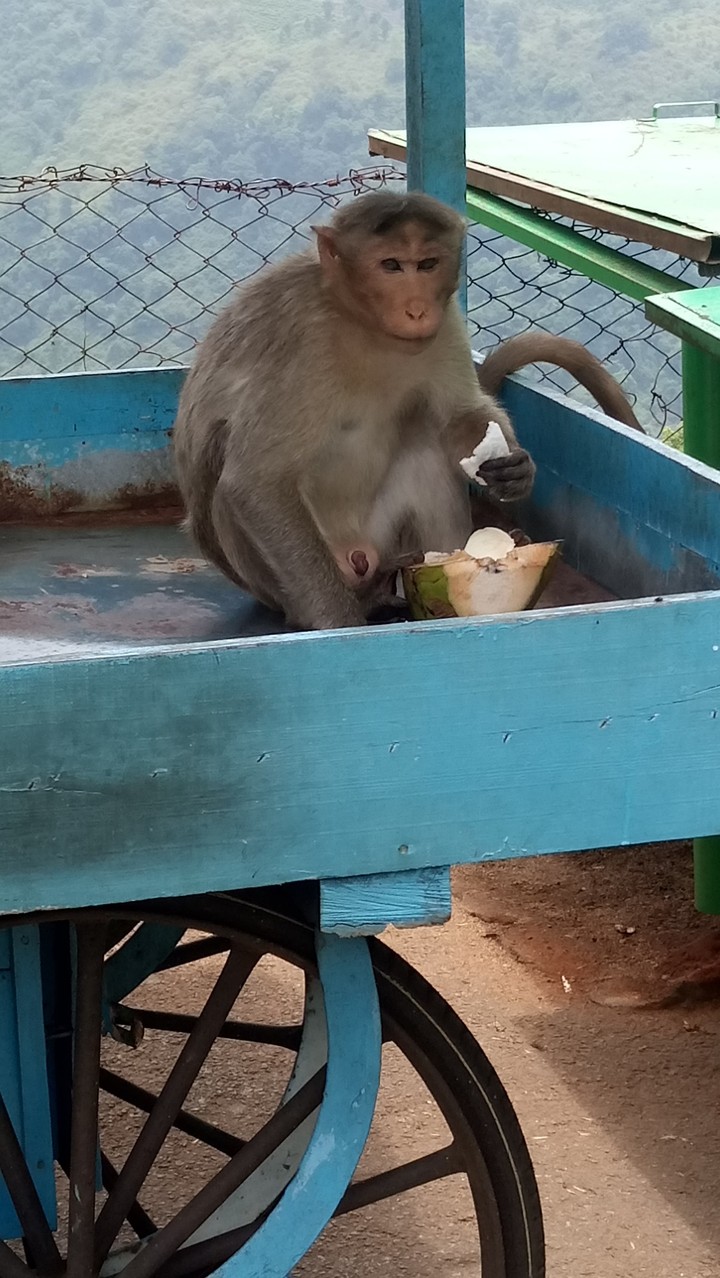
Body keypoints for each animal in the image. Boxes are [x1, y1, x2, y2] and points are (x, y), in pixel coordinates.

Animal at [172, 190, 640, 631]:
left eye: (427, 263)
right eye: (392, 265)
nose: (417, 309)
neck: (362, 322)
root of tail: (358, 557)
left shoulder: (446, 320)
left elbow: (460, 414)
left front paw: (514, 469)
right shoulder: (300, 340)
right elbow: (255, 481)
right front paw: (340, 623)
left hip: (381, 541)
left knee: (425, 450)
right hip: (288, 578)